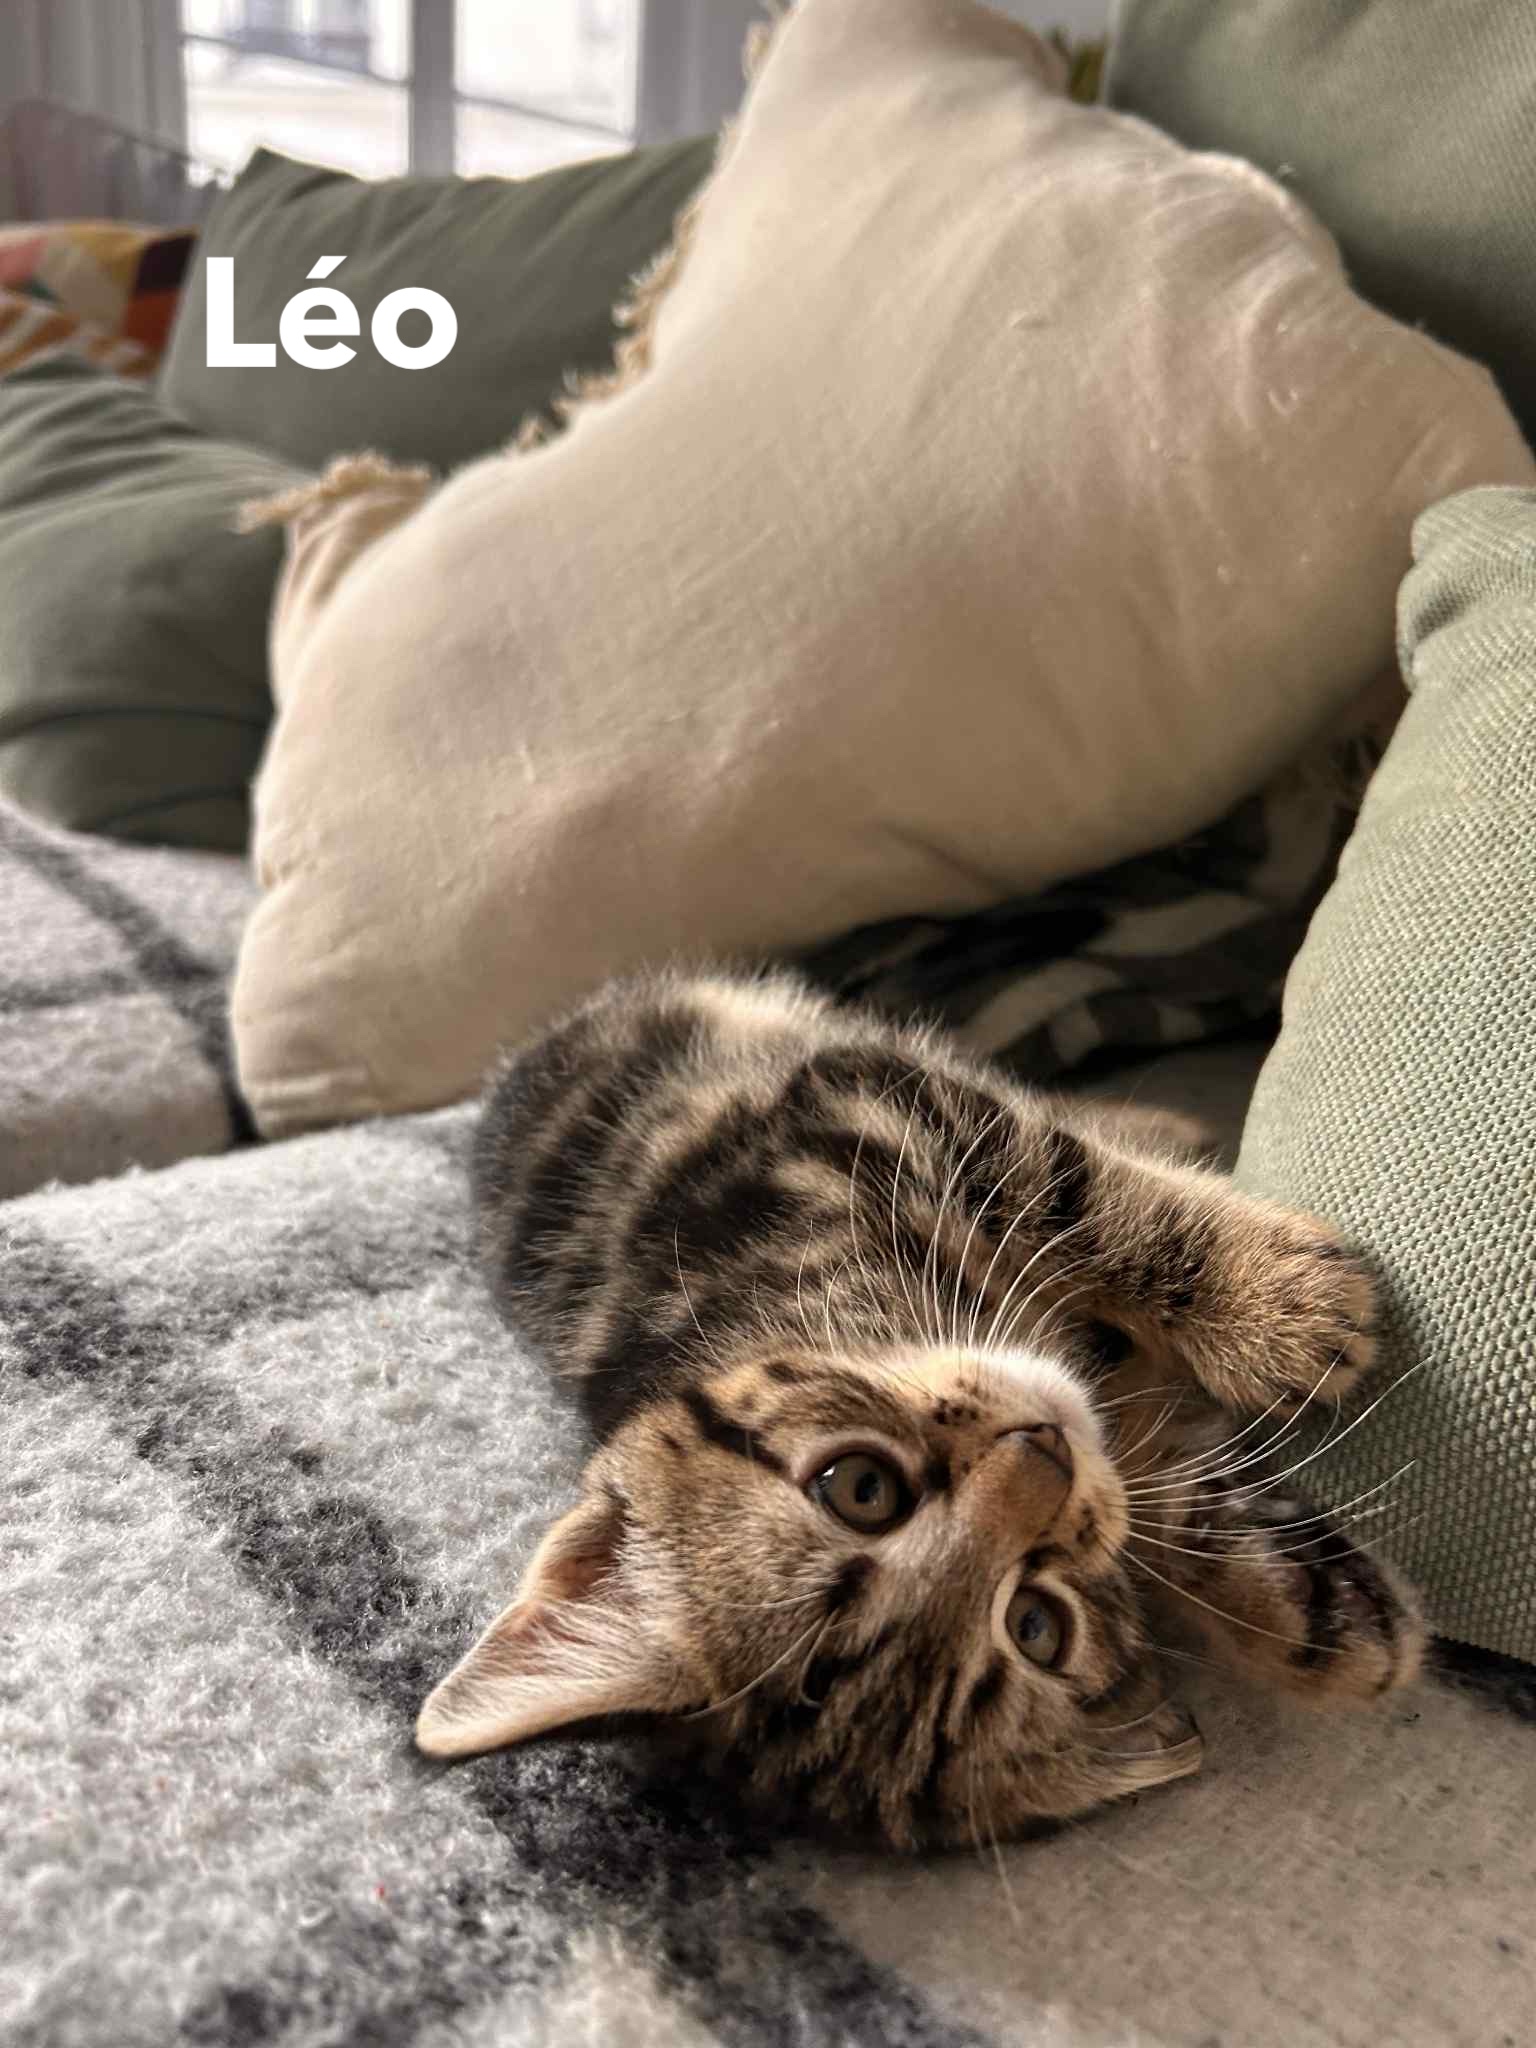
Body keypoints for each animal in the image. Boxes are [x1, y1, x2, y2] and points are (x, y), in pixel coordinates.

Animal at [417, 968, 1423, 1850]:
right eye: (1035, 1626)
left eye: (859, 1488)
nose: (1042, 1452)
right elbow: (1140, 1488)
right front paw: (1312, 1611)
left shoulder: (845, 1109)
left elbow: (1061, 1186)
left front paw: (1280, 1308)